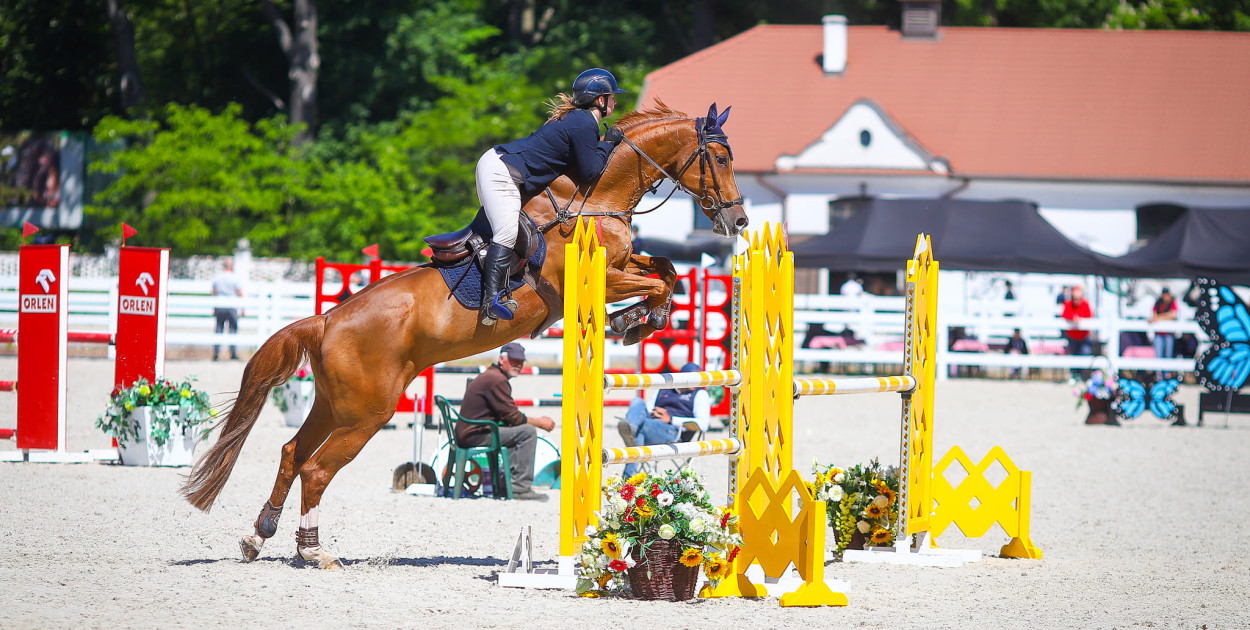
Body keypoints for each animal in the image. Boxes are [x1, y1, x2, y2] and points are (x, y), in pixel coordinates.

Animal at [181, 100, 745, 567]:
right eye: (719, 157)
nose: (737, 220)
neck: (596, 197)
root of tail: (325, 320)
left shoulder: (623, 262)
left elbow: (666, 269)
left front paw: (639, 320)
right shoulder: (596, 277)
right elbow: (659, 279)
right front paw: (637, 321)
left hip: (334, 403)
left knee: (293, 454)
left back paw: (258, 536)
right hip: (366, 411)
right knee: (317, 469)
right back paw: (315, 553)